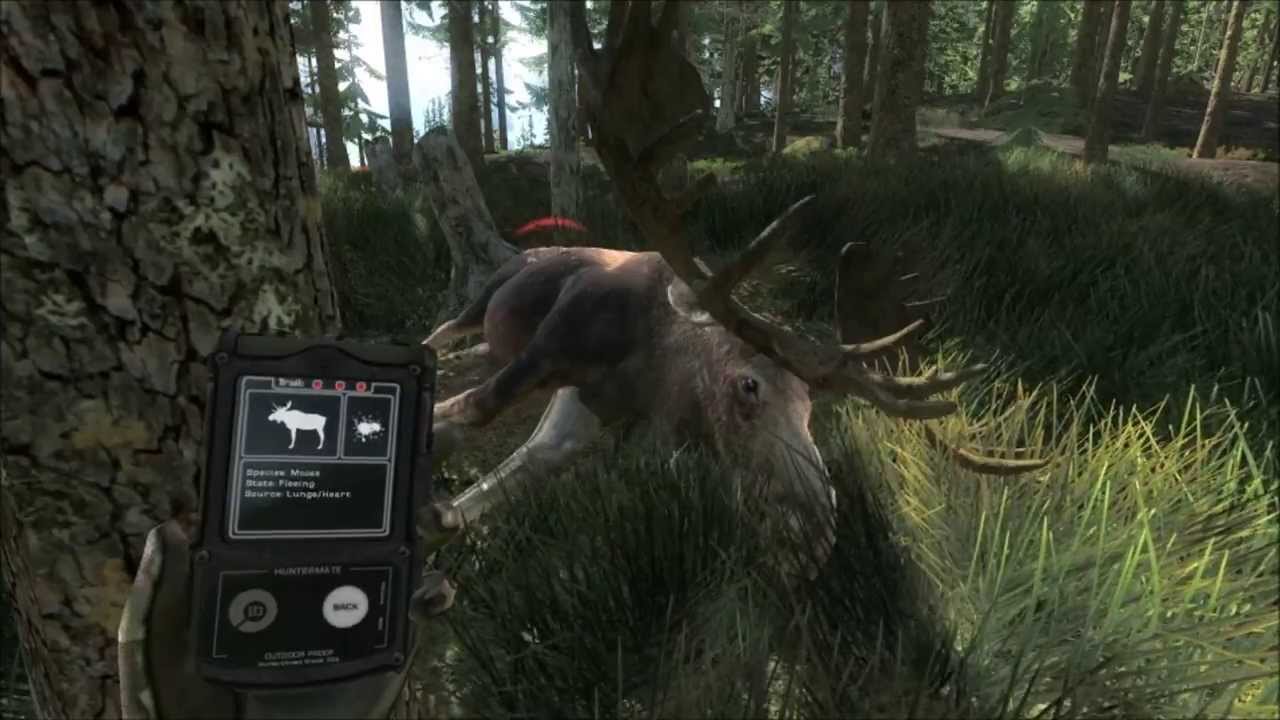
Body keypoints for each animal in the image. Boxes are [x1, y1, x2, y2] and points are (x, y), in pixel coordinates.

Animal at [419, 1, 1049, 578]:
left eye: (811, 403)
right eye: (748, 386)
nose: (818, 531)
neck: (642, 359)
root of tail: (519, 249)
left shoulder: (586, 417)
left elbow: (484, 490)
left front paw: (442, 524)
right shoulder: (553, 345)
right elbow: (468, 410)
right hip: (482, 298)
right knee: (442, 329)